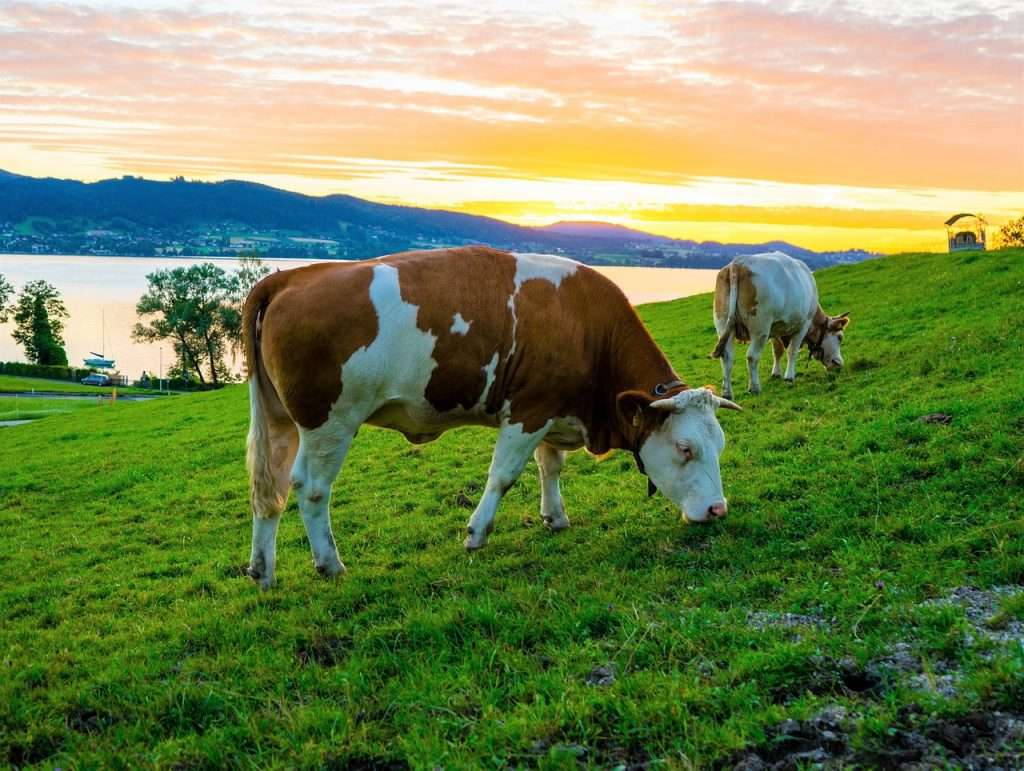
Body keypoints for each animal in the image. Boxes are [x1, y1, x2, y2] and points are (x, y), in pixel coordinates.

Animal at [242, 246, 741, 588]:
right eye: (684, 448)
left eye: (719, 445)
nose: (718, 509)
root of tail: (291, 278)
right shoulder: (527, 411)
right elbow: (504, 475)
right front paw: (477, 533)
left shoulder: (550, 409)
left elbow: (549, 467)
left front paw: (555, 517)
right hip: (329, 421)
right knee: (311, 488)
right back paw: (329, 563)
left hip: (279, 419)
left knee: (270, 489)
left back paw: (263, 571)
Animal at [710, 251, 850, 399]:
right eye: (840, 337)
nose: (839, 364)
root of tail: (739, 262)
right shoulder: (803, 324)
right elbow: (792, 351)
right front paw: (789, 377)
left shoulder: (775, 327)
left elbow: (777, 351)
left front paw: (776, 373)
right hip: (760, 328)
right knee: (752, 356)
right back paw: (754, 388)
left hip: (723, 324)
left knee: (727, 357)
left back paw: (727, 393)